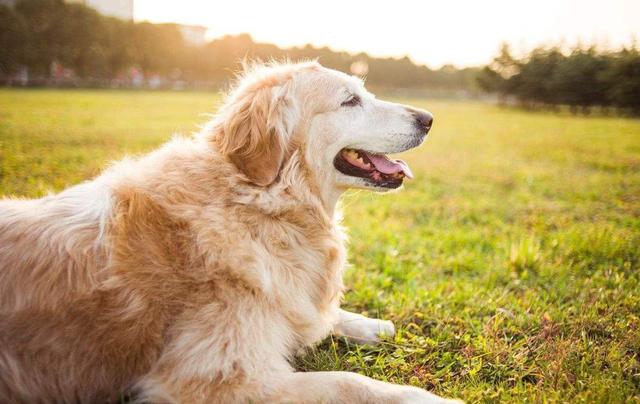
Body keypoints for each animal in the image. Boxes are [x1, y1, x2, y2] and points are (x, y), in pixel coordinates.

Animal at [0, 61, 456, 402]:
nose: (429, 118)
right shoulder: (218, 379)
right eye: (350, 100)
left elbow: (318, 315)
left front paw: (369, 324)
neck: (259, 200)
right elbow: (348, 383)